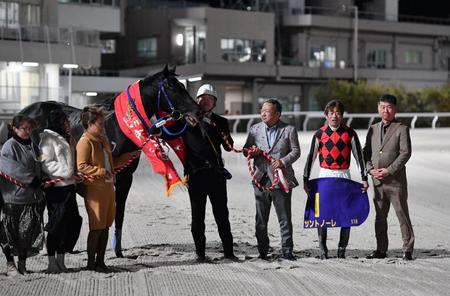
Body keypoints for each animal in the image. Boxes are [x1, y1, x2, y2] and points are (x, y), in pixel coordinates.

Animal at [18, 66, 200, 256]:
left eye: (182, 85)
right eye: (172, 87)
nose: (197, 111)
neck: (117, 126)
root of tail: (25, 112)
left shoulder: (126, 176)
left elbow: (119, 212)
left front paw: (117, 249)